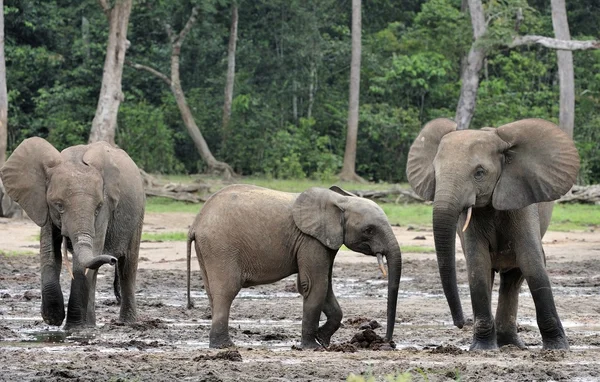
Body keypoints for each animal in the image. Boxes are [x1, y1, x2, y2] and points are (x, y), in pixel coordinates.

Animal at [0, 139, 145, 330]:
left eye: (98, 207)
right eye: (59, 205)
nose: (111, 259)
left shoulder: (105, 210)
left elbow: (84, 261)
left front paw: (73, 328)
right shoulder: (44, 206)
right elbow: (49, 253)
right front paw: (53, 318)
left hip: (138, 214)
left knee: (127, 266)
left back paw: (124, 323)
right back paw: (90, 325)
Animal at [186, 184, 404, 350]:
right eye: (369, 230)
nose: (386, 342)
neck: (340, 201)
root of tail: (195, 223)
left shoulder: (324, 241)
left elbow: (324, 286)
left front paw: (322, 340)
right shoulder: (310, 240)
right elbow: (315, 285)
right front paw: (313, 347)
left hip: (209, 249)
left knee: (212, 292)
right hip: (221, 247)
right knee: (226, 291)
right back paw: (225, 346)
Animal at [406, 118, 580, 350]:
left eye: (479, 173)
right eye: (435, 172)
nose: (460, 324)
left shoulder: (521, 199)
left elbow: (532, 264)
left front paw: (558, 348)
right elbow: (478, 266)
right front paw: (482, 349)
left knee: (514, 276)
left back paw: (512, 344)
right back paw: (503, 343)